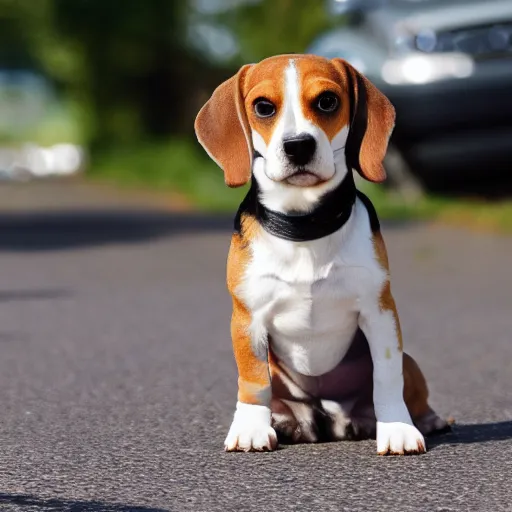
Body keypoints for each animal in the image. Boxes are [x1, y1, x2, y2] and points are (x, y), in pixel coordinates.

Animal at [194, 55, 450, 456]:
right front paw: (251, 428)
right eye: (263, 107)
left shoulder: (380, 312)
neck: (305, 225)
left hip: (409, 360)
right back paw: (285, 421)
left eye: (327, 101)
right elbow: (253, 381)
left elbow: (387, 378)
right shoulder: (247, 318)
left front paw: (397, 429)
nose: (298, 146)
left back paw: (425, 418)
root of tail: (330, 417)